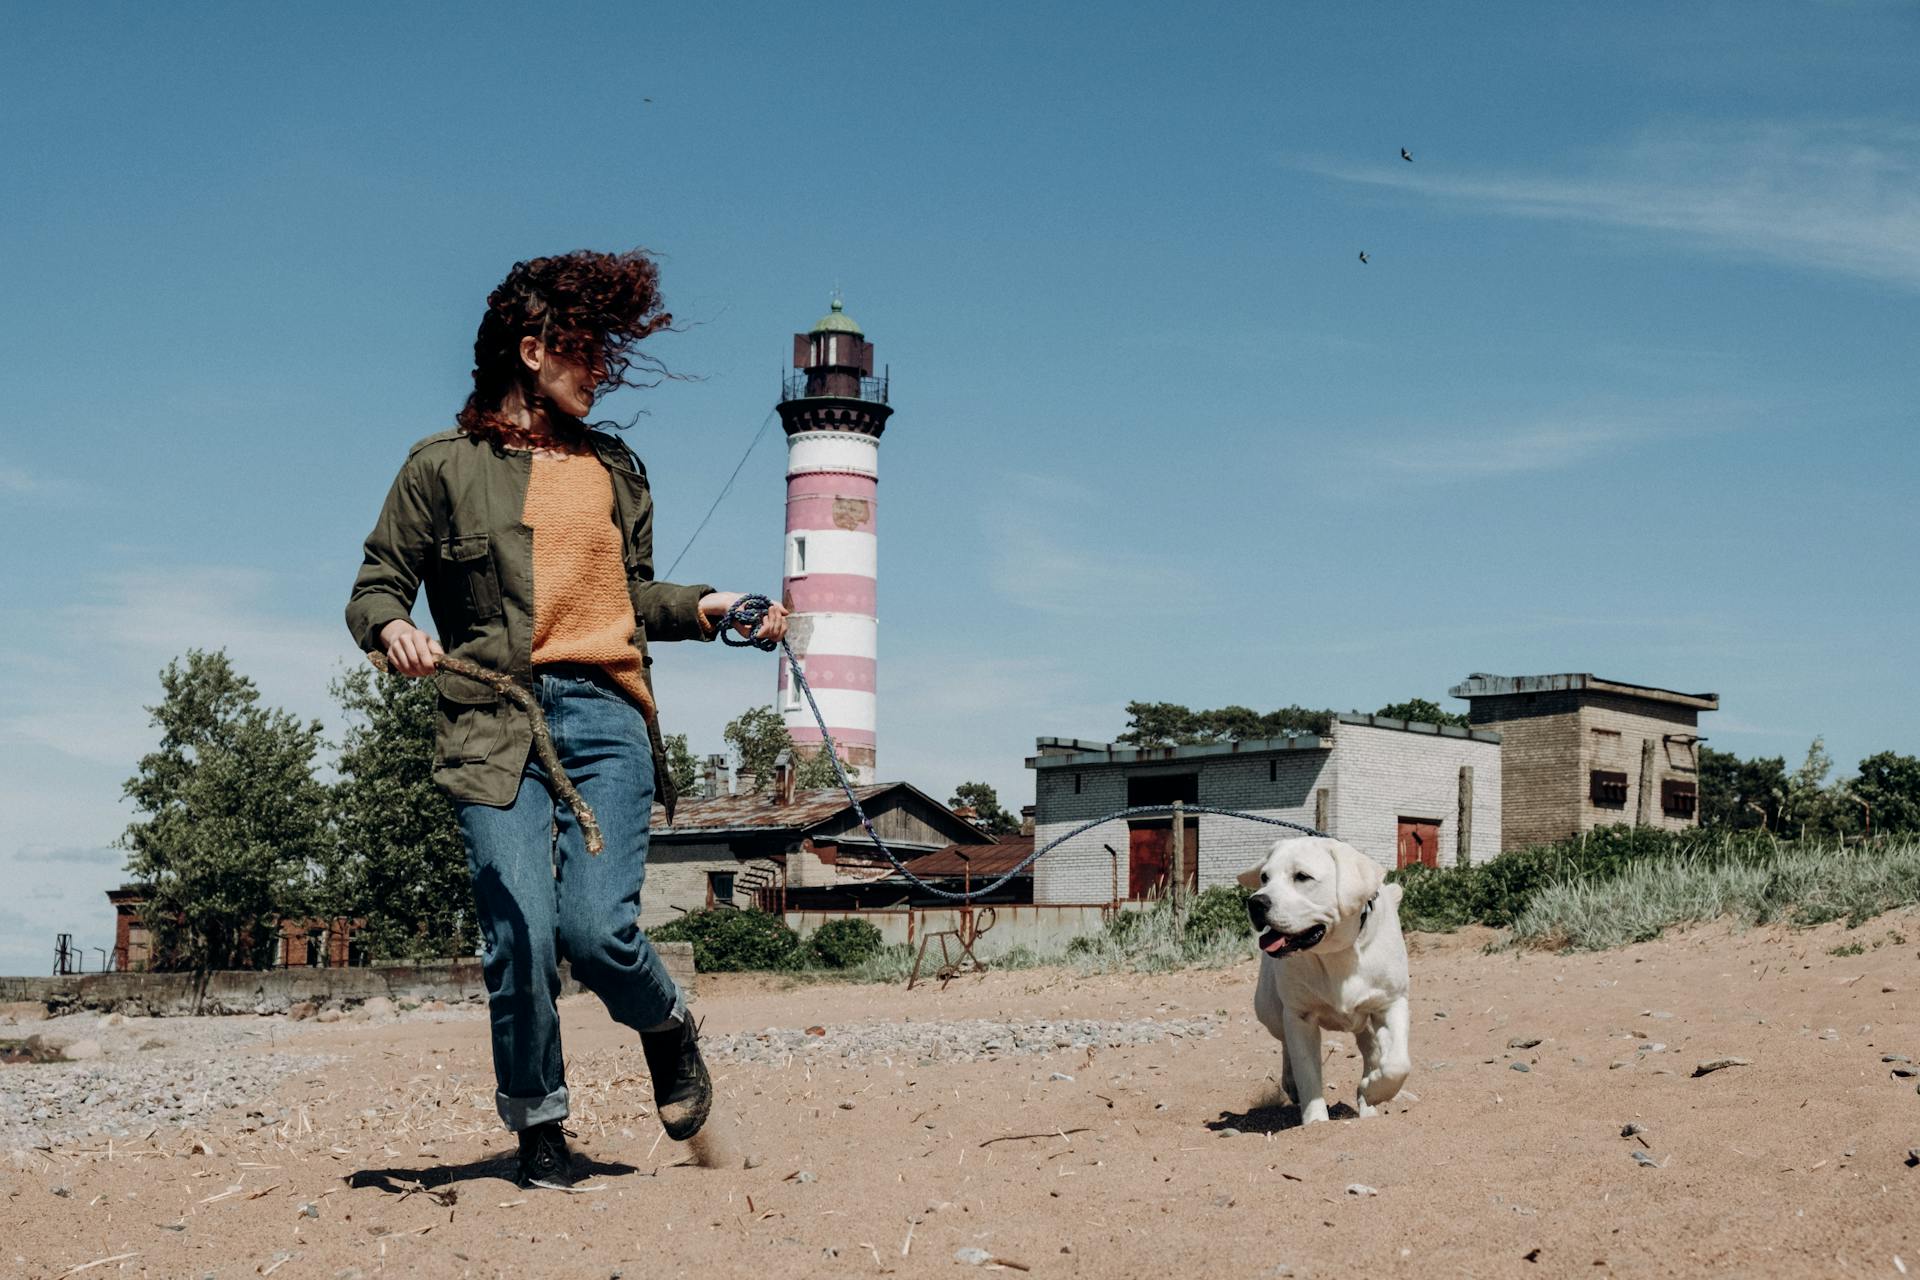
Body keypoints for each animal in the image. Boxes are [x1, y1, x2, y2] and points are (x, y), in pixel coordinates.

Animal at [1244, 840, 1413, 1120]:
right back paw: (1291, 1083)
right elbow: (1308, 1074)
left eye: (1302, 876)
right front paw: (1316, 1121)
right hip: (1269, 1010)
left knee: (1371, 1046)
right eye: (1264, 877)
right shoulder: (1299, 1016)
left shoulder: (1391, 1002)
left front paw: (1372, 1091)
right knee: (1285, 1042)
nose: (1255, 902)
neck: (1337, 954)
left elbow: (1397, 1064)